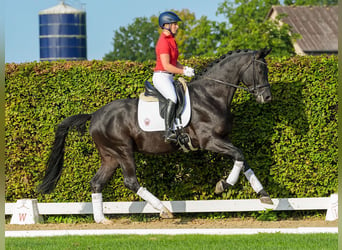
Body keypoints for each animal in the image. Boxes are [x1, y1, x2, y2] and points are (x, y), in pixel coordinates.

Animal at [38, 47, 272, 224]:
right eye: (261, 70)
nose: (267, 97)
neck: (211, 96)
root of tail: (94, 115)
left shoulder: (224, 140)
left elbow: (243, 160)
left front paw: (265, 196)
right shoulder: (210, 141)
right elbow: (239, 156)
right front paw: (224, 185)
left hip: (110, 156)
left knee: (96, 183)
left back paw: (102, 220)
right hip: (123, 150)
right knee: (130, 181)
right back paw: (164, 210)